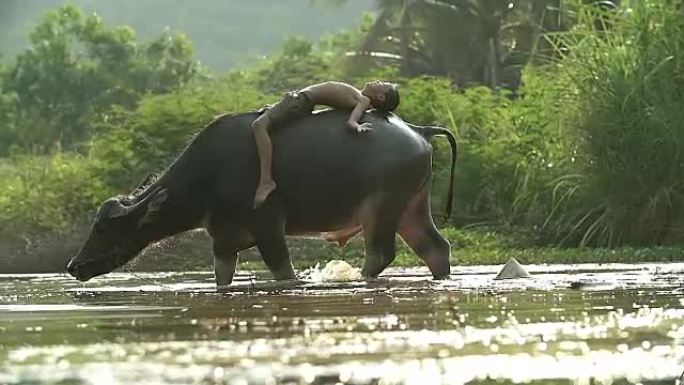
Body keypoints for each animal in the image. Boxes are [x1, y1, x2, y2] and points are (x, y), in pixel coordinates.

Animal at [67, 109, 456, 288]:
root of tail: (418, 130)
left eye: (102, 228)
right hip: (412, 207)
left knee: (379, 254)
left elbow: (282, 270)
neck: (209, 175)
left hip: (382, 207)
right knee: (436, 248)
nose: (73, 266)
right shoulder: (223, 239)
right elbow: (222, 275)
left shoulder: (269, 225)